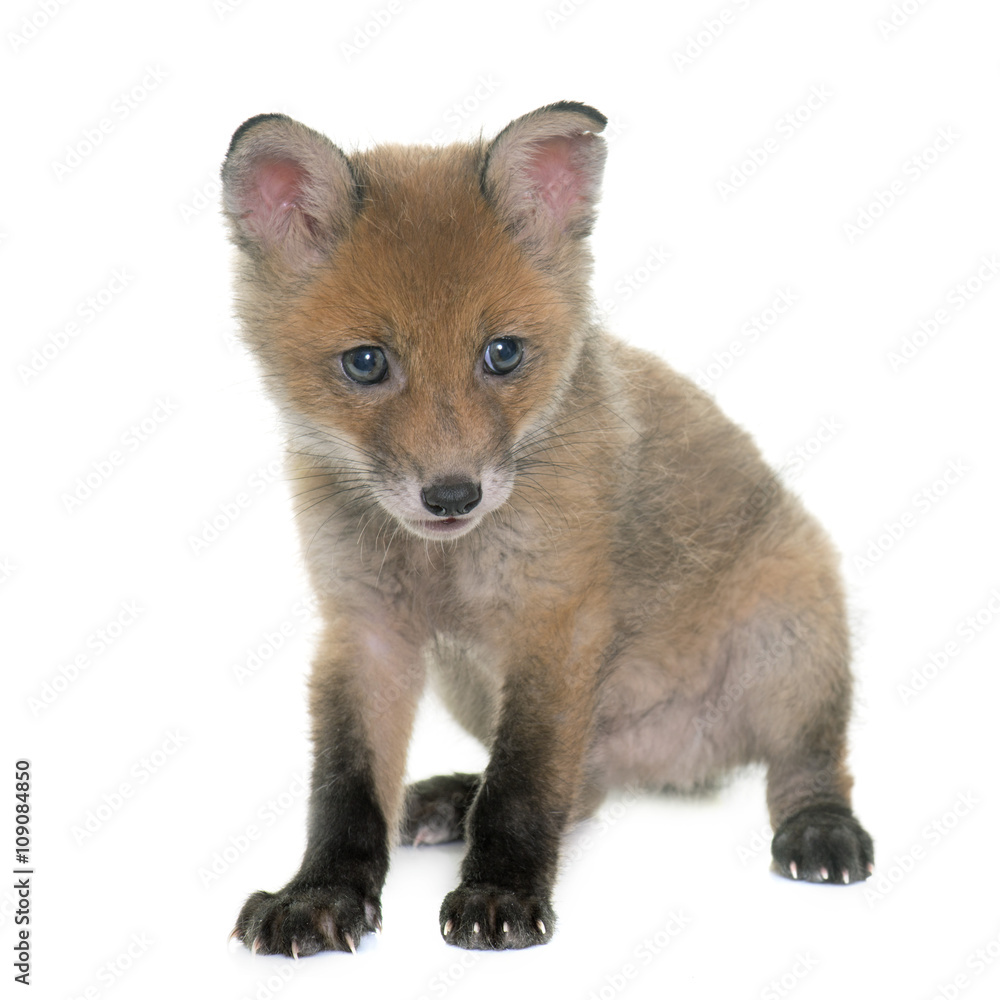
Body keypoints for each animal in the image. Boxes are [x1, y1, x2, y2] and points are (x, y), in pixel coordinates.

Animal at [221, 101, 873, 956]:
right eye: (366, 363)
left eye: (503, 354)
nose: (452, 495)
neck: (445, 562)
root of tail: (672, 762)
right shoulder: (363, 631)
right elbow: (346, 790)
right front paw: (322, 893)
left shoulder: (555, 623)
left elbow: (523, 787)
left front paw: (500, 894)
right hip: (470, 680)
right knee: (581, 789)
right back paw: (453, 798)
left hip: (793, 638)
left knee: (808, 764)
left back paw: (821, 830)